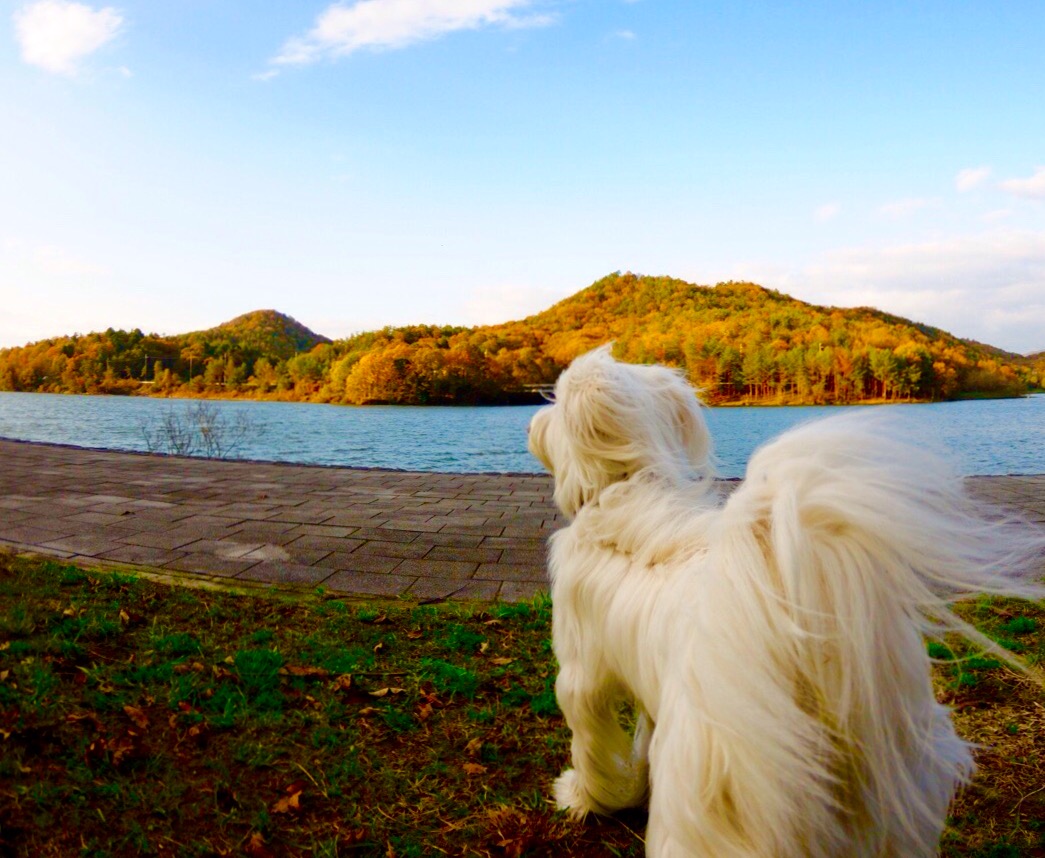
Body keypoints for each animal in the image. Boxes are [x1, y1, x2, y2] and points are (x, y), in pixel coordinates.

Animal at [530, 344, 1045, 852]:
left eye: (556, 394)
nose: (534, 422)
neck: (626, 487)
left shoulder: (581, 674)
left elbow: (591, 743)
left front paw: (582, 795)